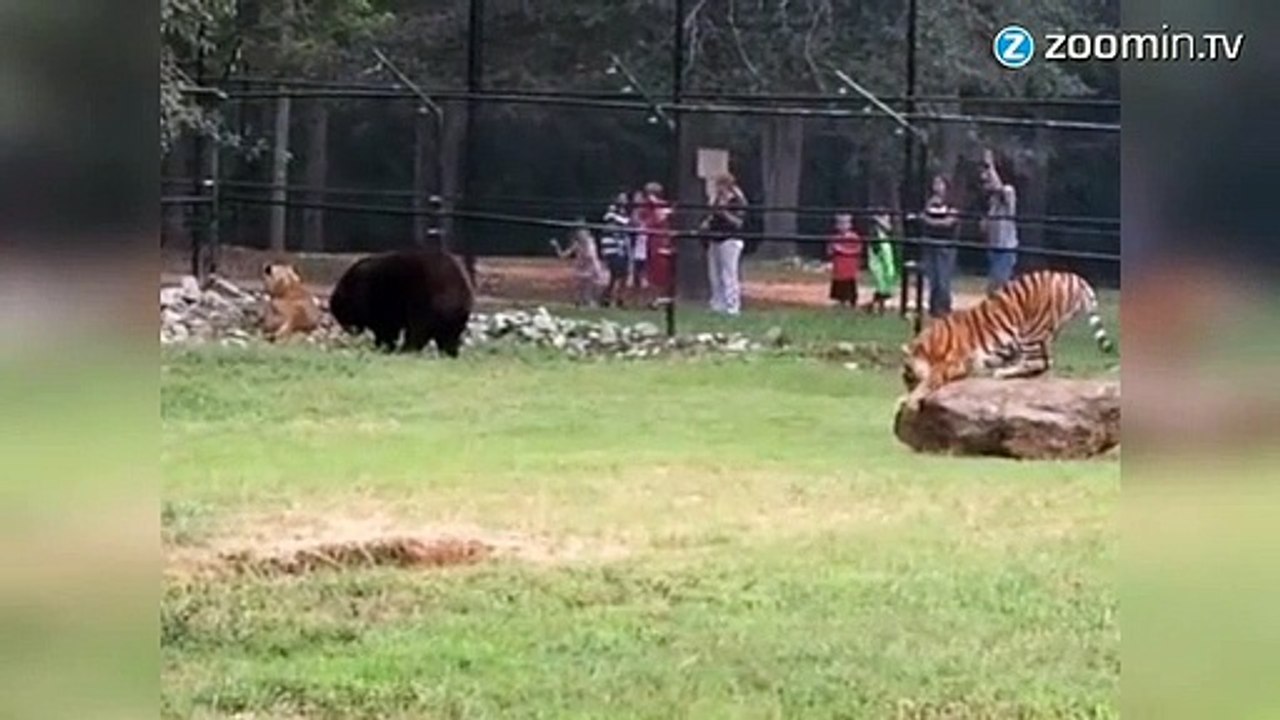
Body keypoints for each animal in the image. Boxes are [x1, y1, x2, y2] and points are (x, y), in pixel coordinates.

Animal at [899, 270, 1115, 409]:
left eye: (908, 376)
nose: (907, 387)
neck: (929, 346)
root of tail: (1074, 278)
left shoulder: (953, 363)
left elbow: (930, 380)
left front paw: (909, 400)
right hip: (1046, 334)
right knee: (1045, 363)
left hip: (1031, 331)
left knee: (1038, 361)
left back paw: (1003, 372)